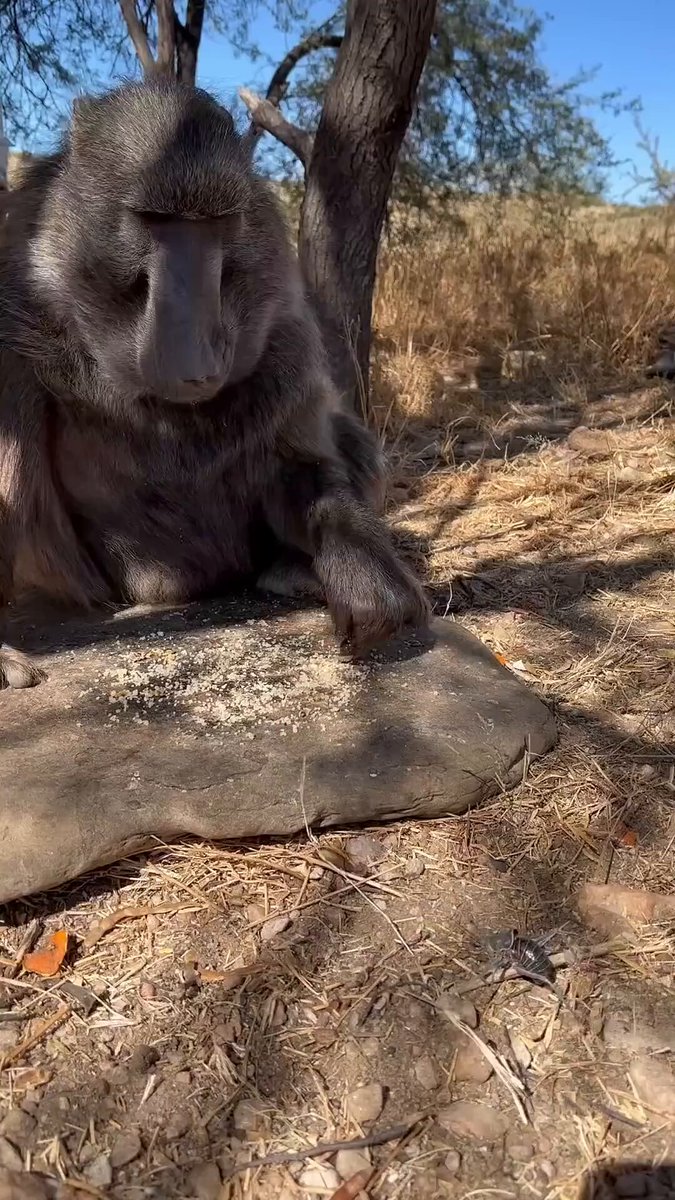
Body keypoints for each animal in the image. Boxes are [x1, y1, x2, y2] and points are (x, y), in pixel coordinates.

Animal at [0, 79, 429, 692]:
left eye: (216, 222)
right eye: (153, 220)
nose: (197, 362)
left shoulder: (280, 312)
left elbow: (297, 459)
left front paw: (362, 573)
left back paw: (290, 570)